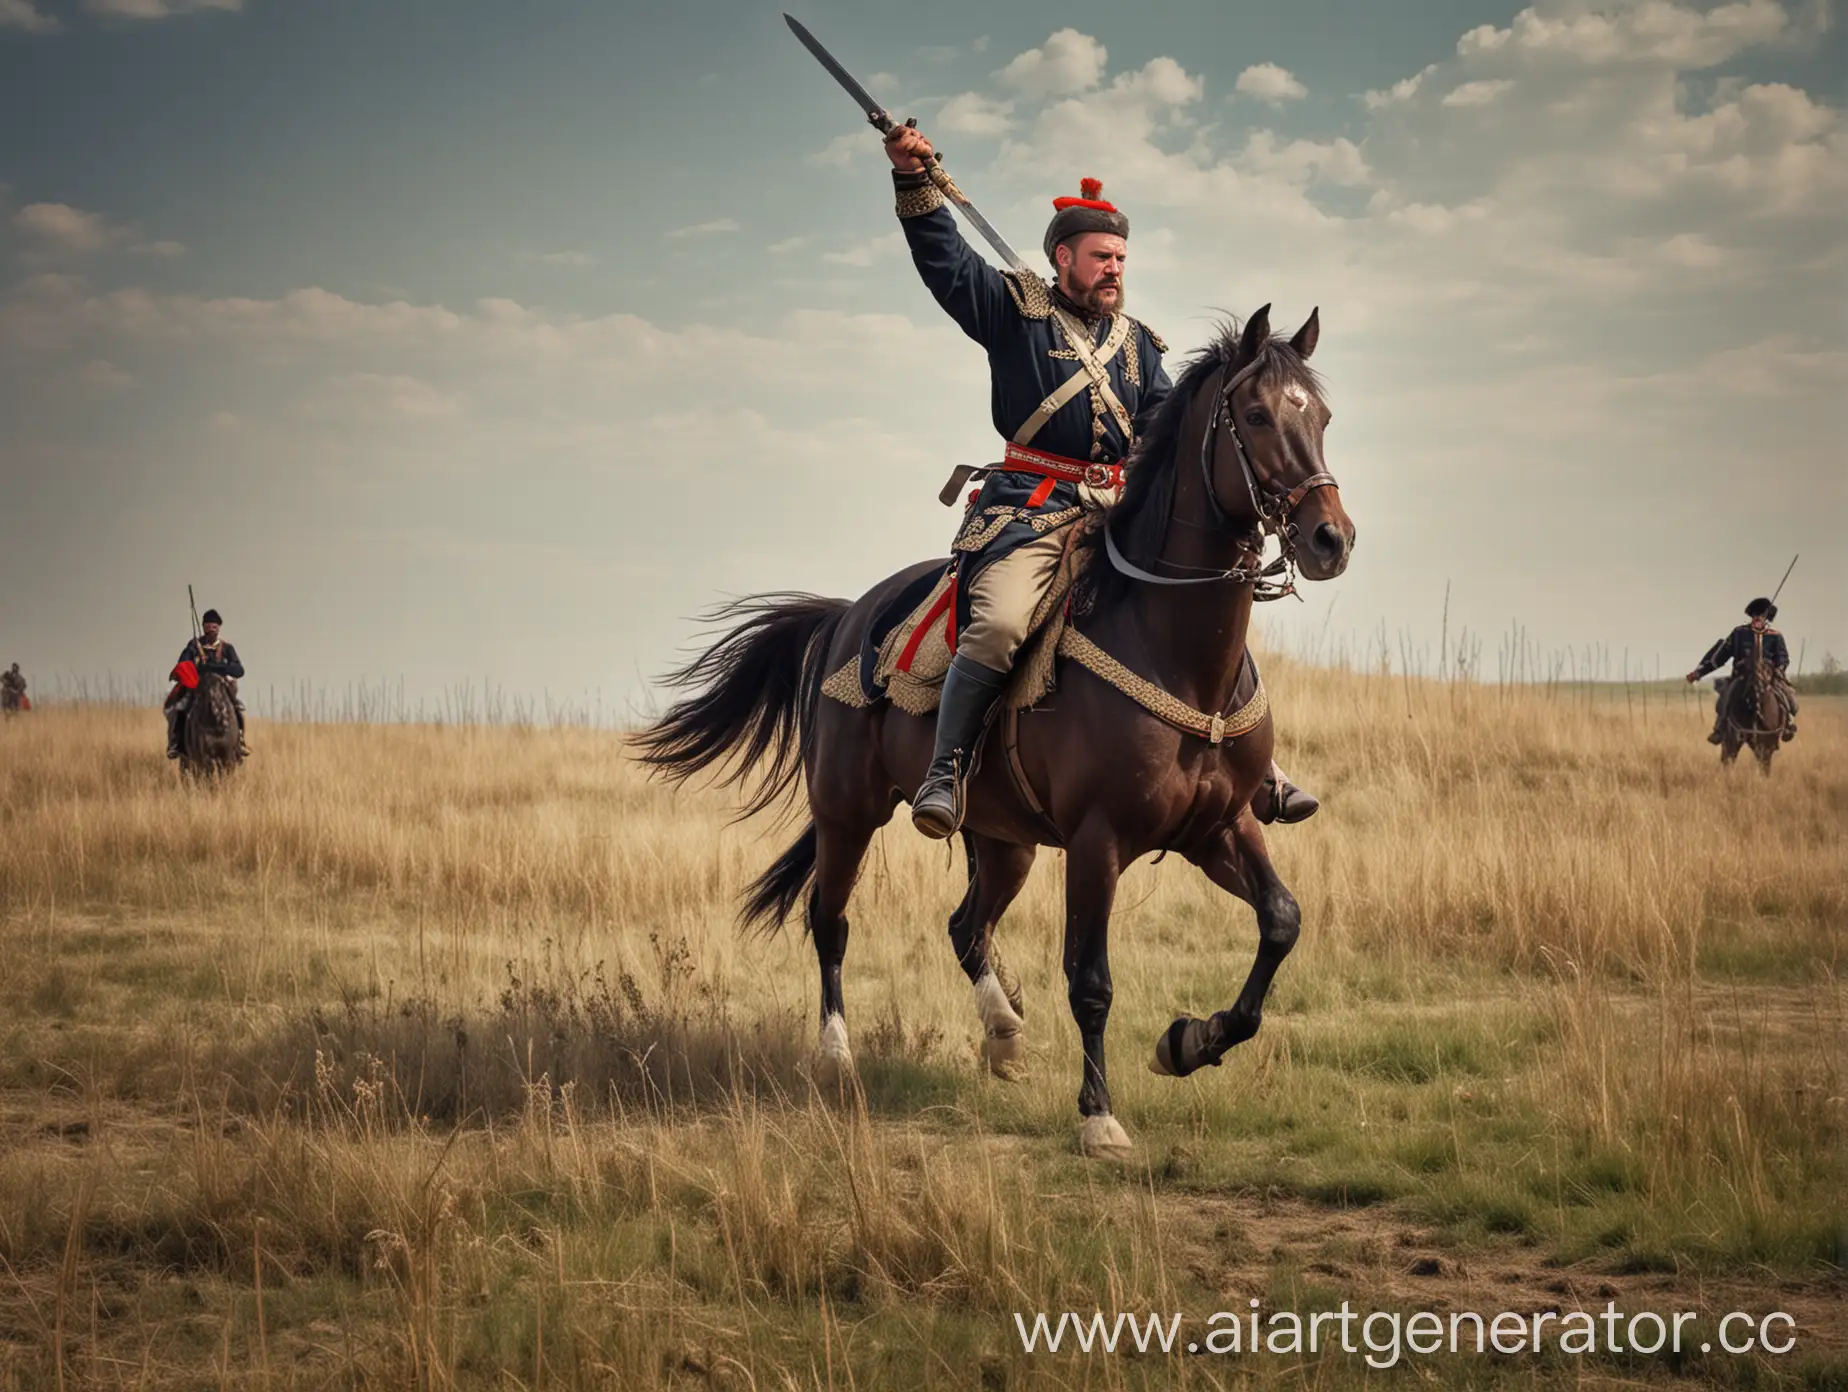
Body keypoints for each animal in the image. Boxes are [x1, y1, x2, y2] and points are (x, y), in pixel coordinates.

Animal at [643, 308, 1352, 1153]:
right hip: (848, 813)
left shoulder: (1221, 826)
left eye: (1321, 416)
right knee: (830, 919)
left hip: (1003, 840)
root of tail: (848, 613)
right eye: (1256, 415)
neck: (1175, 647)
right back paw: (837, 1054)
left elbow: (1281, 923)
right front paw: (1099, 1116)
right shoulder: (1098, 840)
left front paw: (1189, 1042)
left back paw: (1006, 1033)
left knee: (965, 926)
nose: (1331, 539)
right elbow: (1091, 980)